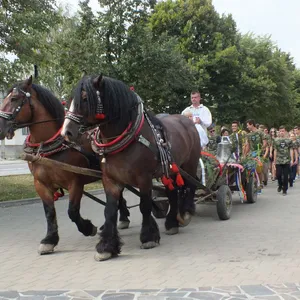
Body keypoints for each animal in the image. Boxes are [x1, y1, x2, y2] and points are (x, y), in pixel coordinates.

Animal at [0, 76, 131, 254]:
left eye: (14, 99)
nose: (0, 128)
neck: (51, 145)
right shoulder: (41, 184)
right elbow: (49, 212)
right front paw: (49, 240)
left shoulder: (75, 183)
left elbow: (72, 212)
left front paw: (88, 228)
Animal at [61, 74, 200, 262]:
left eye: (84, 98)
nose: (66, 132)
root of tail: (187, 121)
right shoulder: (111, 180)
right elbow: (110, 211)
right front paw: (106, 246)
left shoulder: (144, 178)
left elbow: (145, 206)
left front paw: (148, 237)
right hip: (170, 170)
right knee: (172, 192)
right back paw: (171, 223)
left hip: (190, 165)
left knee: (191, 185)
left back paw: (185, 212)